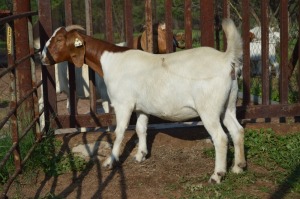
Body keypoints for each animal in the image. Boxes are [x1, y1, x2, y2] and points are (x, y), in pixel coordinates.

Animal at [40, 18, 246, 183]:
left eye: (59, 40)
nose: (42, 58)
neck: (110, 60)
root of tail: (226, 59)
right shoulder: (141, 107)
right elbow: (141, 129)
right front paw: (141, 155)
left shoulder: (122, 103)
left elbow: (119, 132)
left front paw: (110, 161)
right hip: (227, 105)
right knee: (237, 130)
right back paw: (238, 167)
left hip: (208, 108)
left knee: (220, 137)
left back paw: (217, 175)